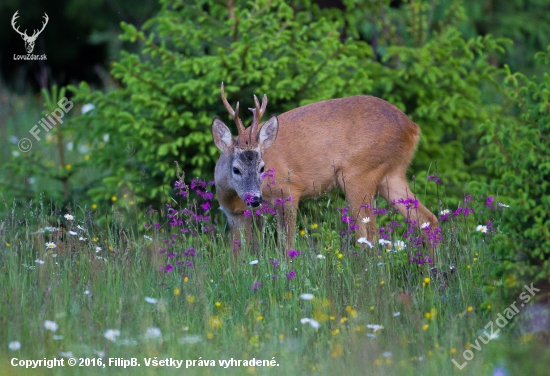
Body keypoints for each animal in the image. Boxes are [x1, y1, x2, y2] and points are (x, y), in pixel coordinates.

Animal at [212, 83, 440, 258]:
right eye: (236, 169)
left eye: (262, 168)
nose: (255, 199)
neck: (233, 197)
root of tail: (412, 128)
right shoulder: (234, 215)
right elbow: (236, 257)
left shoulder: (287, 192)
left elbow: (286, 247)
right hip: (391, 176)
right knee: (428, 221)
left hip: (358, 174)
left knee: (369, 236)